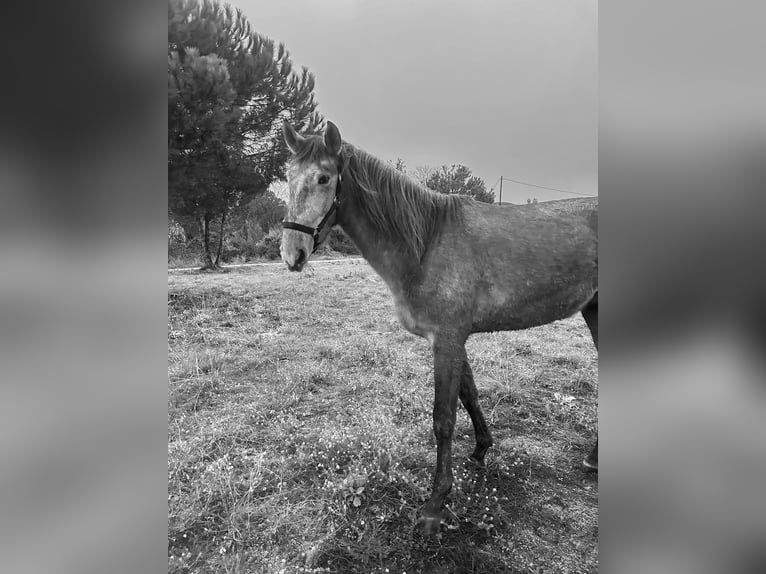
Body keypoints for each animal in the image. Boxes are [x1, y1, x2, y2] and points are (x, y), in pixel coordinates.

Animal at [279, 120, 598, 534]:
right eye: (288, 177)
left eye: (323, 178)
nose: (292, 254)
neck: (427, 243)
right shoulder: (454, 339)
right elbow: (469, 395)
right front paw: (480, 450)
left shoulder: (446, 340)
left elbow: (443, 419)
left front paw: (435, 504)